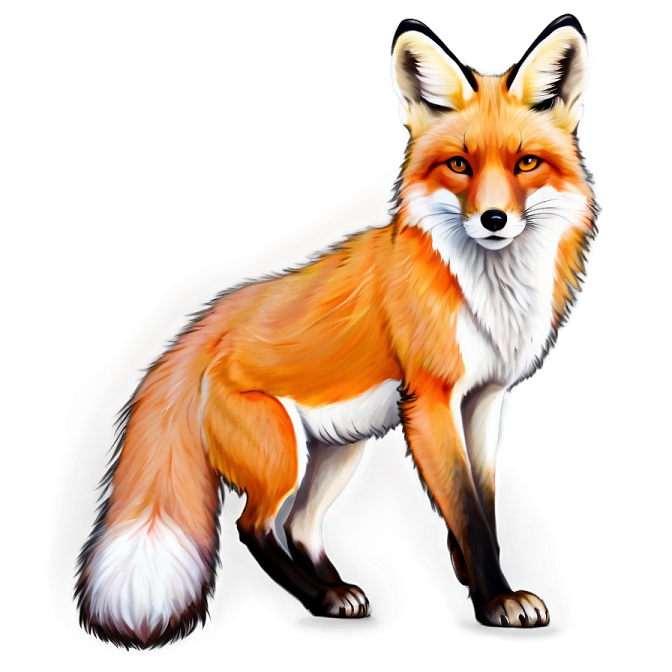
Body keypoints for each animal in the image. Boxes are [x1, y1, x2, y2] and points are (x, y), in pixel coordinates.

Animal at [74, 16, 598, 647]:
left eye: (525, 164)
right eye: (459, 165)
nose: (493, 220)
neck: (490, 294)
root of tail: (214, 319)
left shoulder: (489, 400)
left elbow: (483, 505)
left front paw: (479, 579)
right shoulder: (431, 401)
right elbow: (465, 509)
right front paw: (495, 599)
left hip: (340, 452)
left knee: (301, 527)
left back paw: (339, 590)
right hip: (281, 454)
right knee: (252, 527)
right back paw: (321, 598)